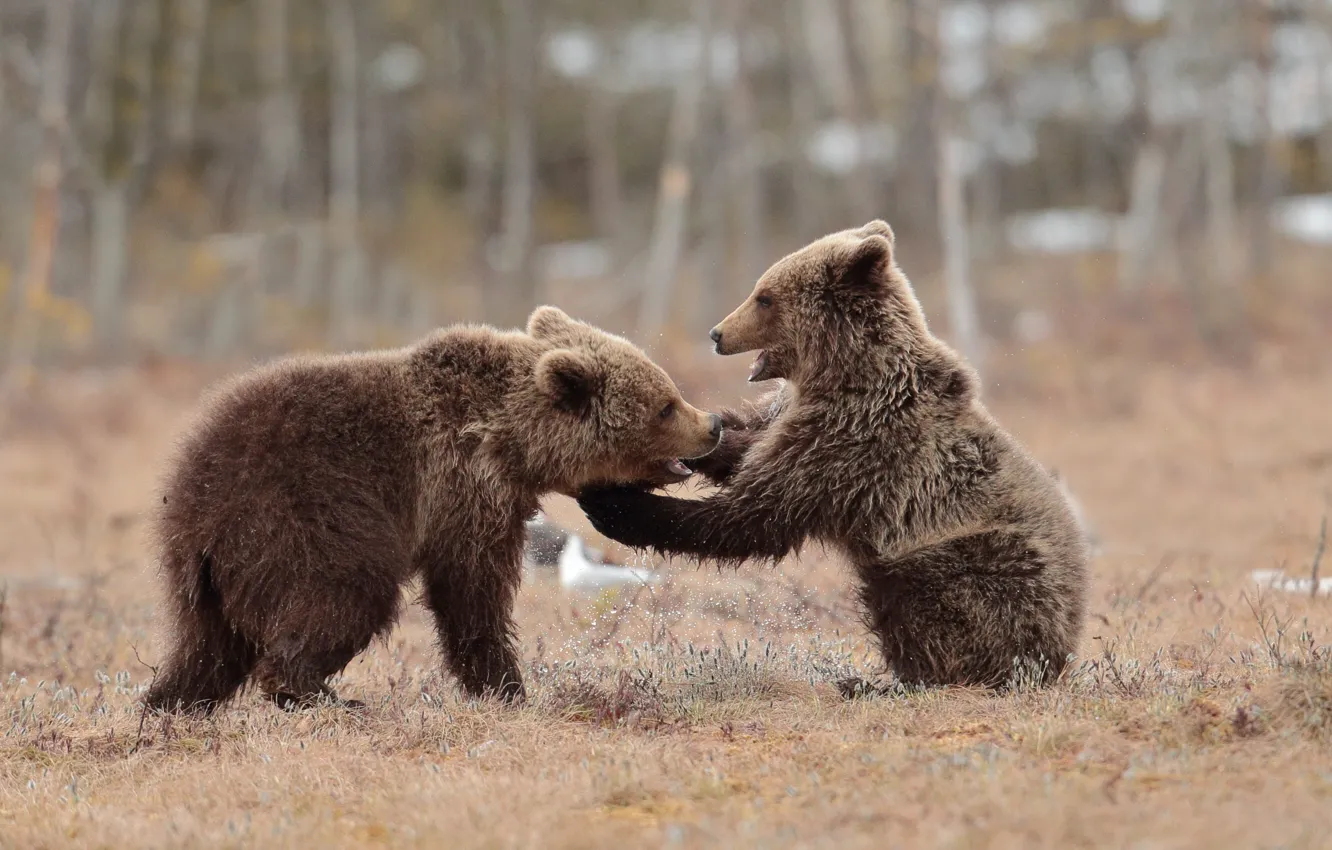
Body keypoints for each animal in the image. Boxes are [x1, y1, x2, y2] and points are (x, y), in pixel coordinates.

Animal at [143, 306, 722, 714]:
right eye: (665, 405)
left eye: (670, 391)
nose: (713, 424)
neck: (513, 445)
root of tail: (199, 509)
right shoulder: (462, 490)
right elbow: (470, 591)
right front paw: (505, 686)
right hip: (303, 519)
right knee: (347, 592)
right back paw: (322, 695)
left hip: (201, 572)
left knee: (206, 646)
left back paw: (167, 703)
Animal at [578, 221, 1090, 690]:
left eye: (764, 297)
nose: (717, 333)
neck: (841, 376)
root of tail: (1062, 654)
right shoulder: (797, 423)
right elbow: (749, 453)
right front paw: (696, 439)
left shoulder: (852, 446)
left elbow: (752, 517)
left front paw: (613, 506)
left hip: (980, 560)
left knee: (920, 598)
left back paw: (891, 681)